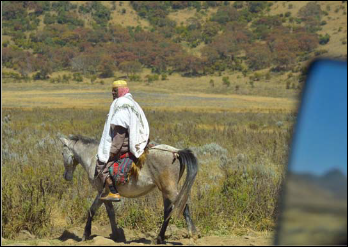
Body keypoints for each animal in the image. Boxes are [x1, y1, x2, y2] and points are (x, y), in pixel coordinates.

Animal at [58, 134, 197, 244]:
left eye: (62, 153)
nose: (66, 176)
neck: (94, 158)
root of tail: (176, 152)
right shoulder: (106, 195)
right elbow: (111, 213)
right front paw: (116, 236)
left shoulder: (101, 192)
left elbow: (92, 210)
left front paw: (85, 235)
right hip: (165, 191)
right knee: (168, 211)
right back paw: (159, 238)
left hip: (170, 190)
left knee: (184, 206)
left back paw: (192, 234)